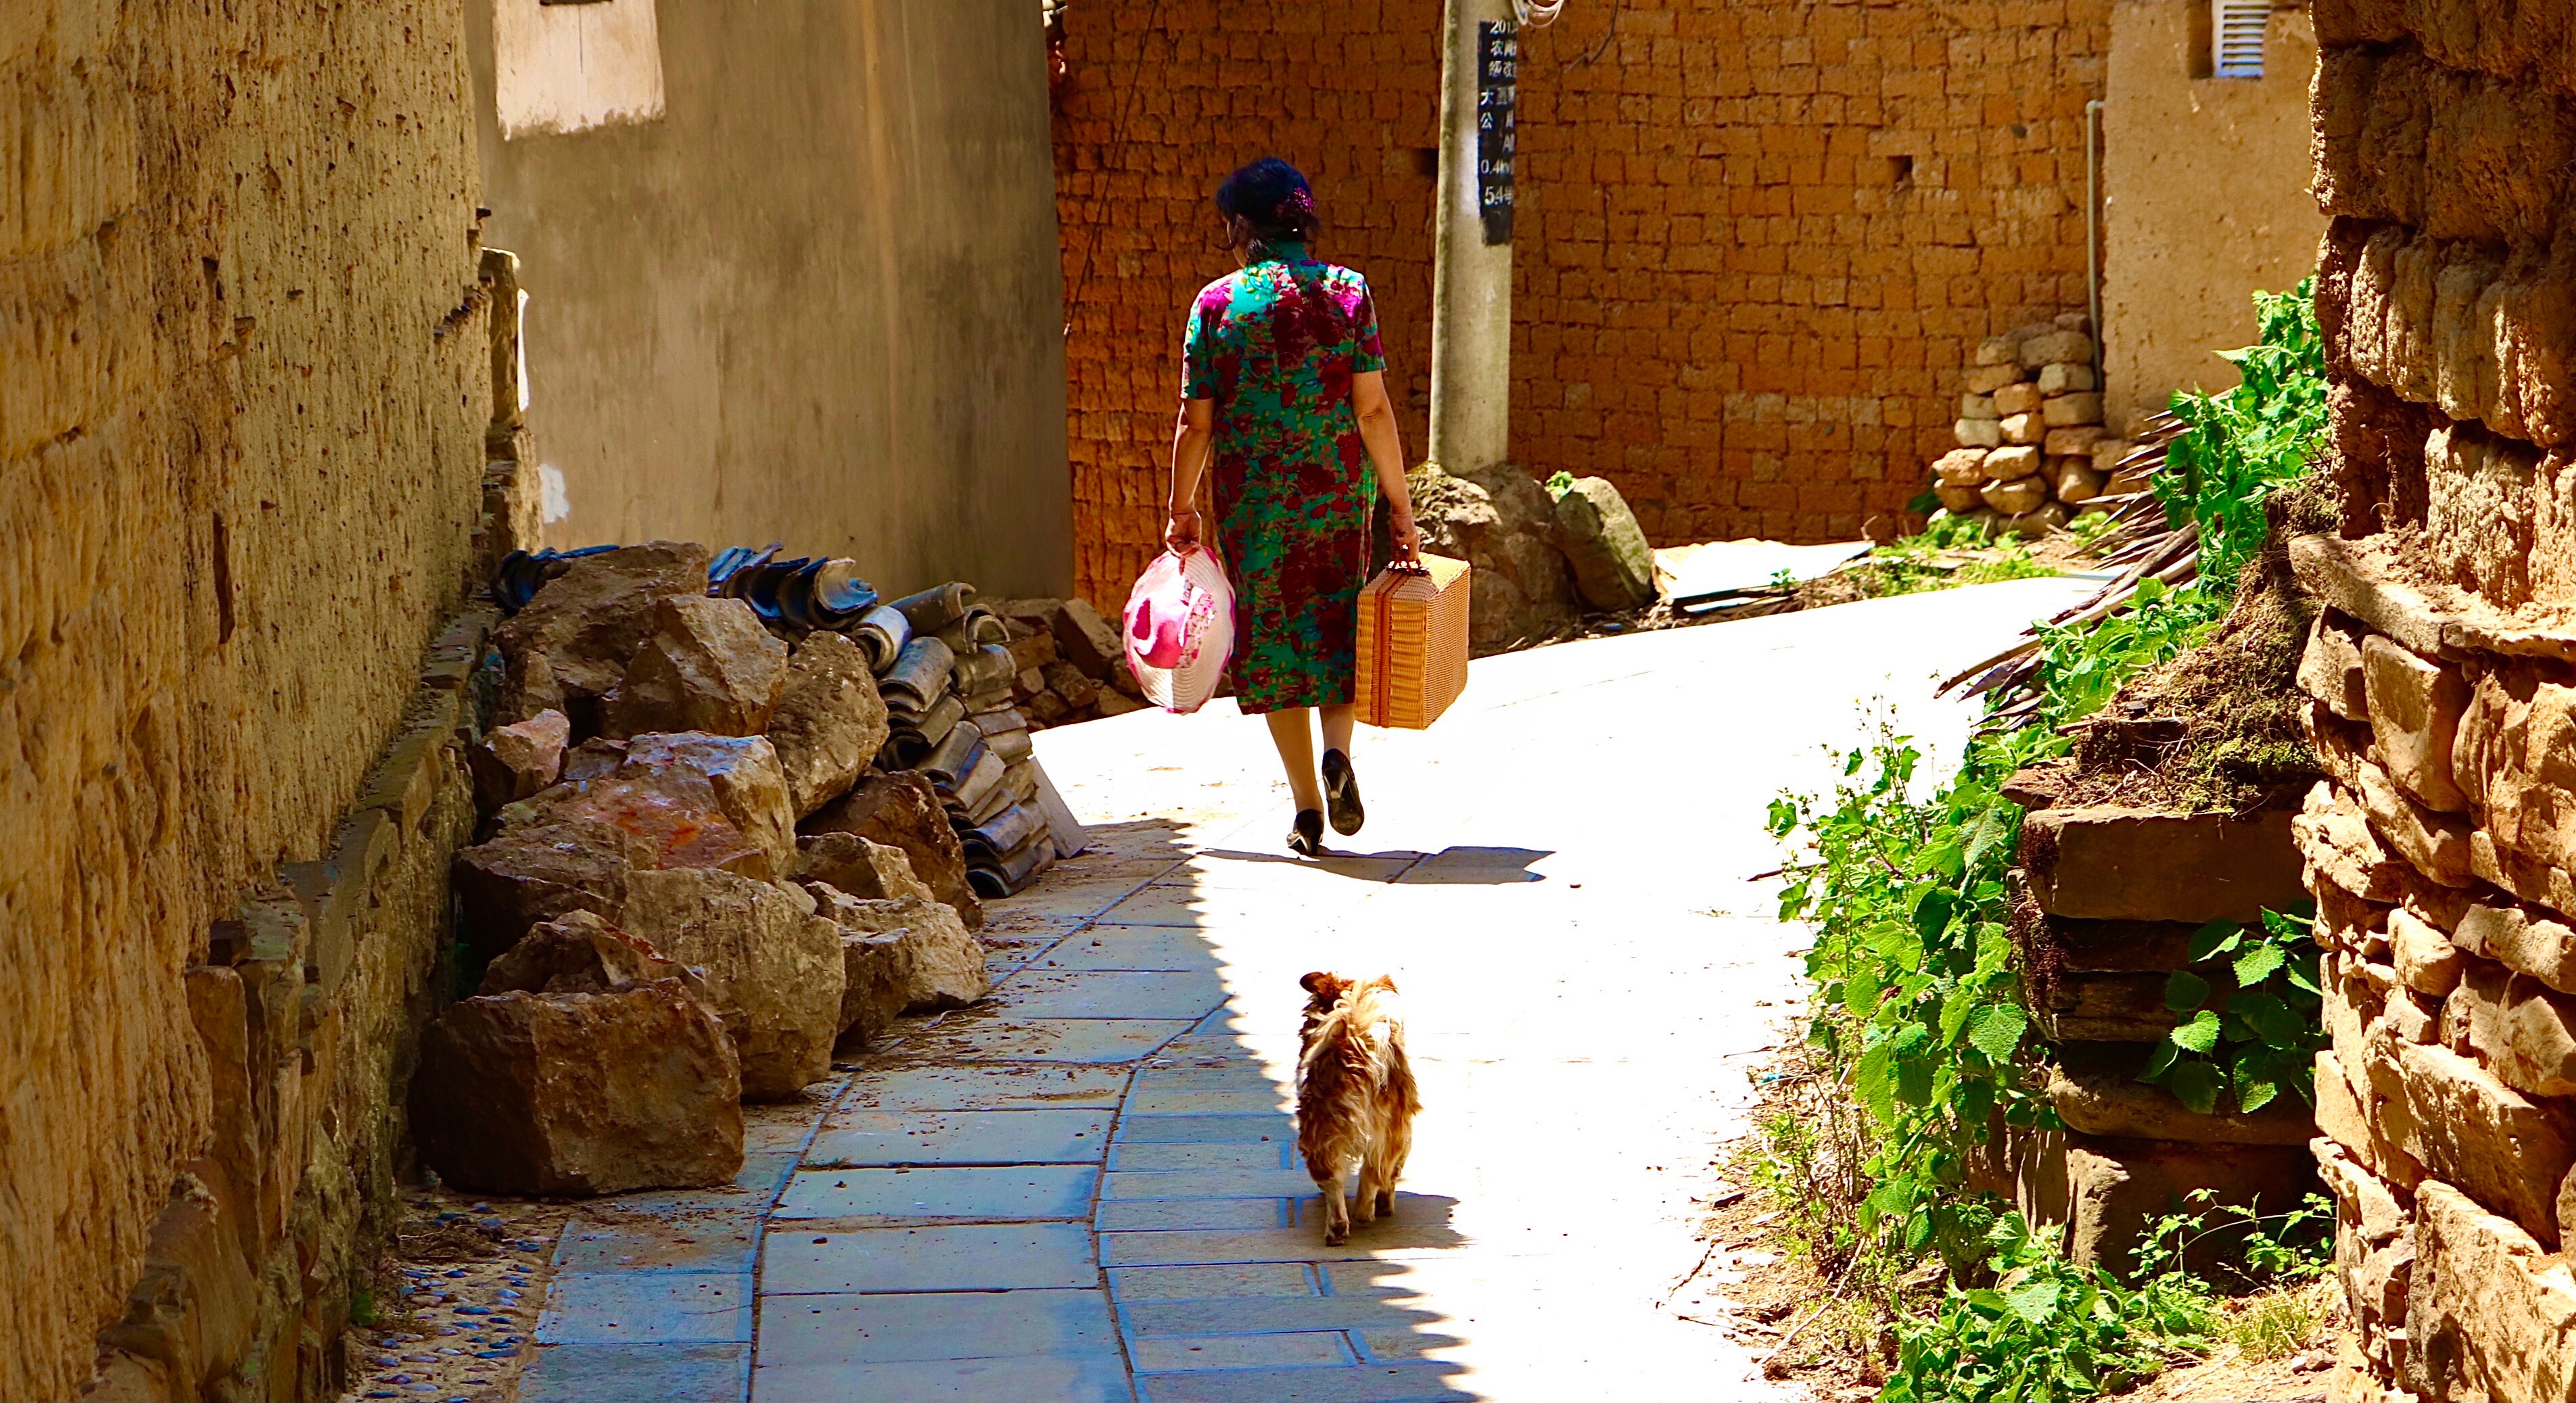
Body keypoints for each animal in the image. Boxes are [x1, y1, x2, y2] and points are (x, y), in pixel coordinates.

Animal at [1298, 968, 1422, 1241]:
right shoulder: (1403, 1134)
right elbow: (1389, 1173)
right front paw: (1385, 1202)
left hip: (1321, 1125)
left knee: (1333, 1176)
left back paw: (1338, 1226)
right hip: (1390, 1131)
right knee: (1371, 1174)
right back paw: (1364, 1212)